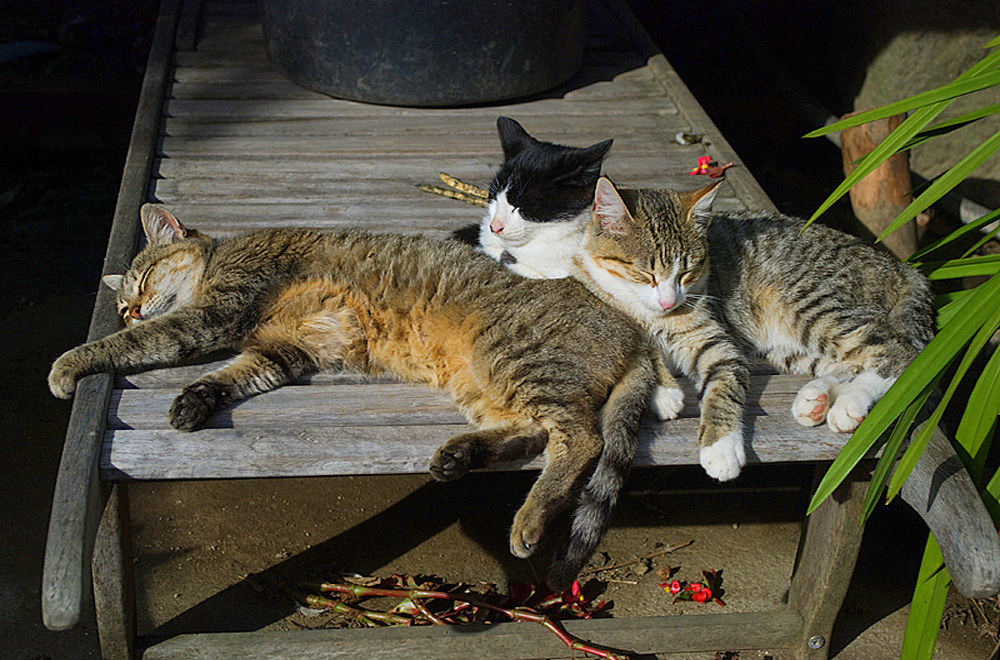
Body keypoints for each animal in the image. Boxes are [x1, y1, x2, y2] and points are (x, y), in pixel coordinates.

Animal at [52, 204, 664, 592]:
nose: (129, 308)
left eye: (142, 279)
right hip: (483, 384)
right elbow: (233, 375)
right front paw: (195, 398)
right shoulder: (283, 351)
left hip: (511, 360)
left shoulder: (214, 314)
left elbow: (138, 343)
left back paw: (529, 520)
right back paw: (460, 455)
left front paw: (69, 364)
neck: (219, 257)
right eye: (122, 299)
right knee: (534, 432)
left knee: (580, 438)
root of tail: (633, 332)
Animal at [576, 178, 932, 482]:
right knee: (852, 361)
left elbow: (724, 385)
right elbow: (637, 354)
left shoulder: (713, 339)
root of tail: (897, 265)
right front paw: (662, 391)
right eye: (646, 274)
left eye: (688, 272)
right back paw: (818, 398)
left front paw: (721, 447)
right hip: (789, 346)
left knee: (899, 353)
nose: (668, 301)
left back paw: (851, 403)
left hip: (806, 304)